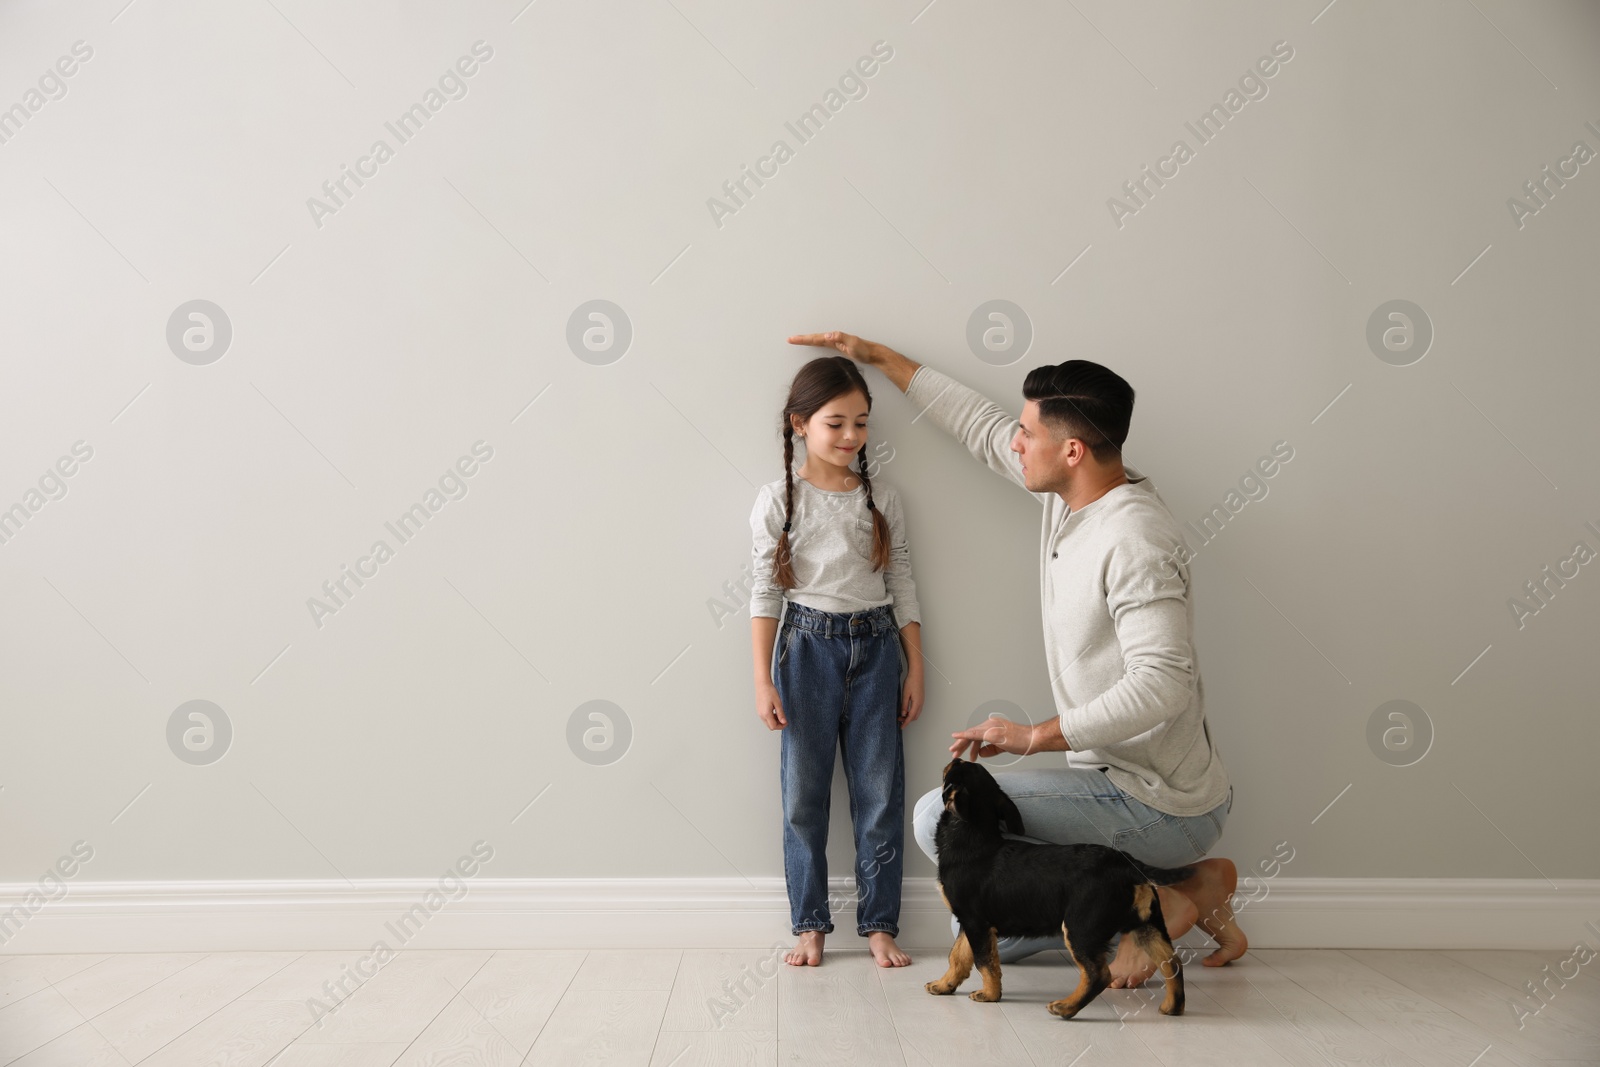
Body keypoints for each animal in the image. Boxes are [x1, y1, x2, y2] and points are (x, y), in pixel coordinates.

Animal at [928, 758, 1190, 1017]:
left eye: (954, 770)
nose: (956, 757)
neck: (973, 835)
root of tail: (1127, 864)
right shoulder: (968, 922)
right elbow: (958, 956)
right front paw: (943, 986)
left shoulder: (976, 922)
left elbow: (984, 961)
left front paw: (990, 995)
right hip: (1148, 925)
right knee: (1172, 963)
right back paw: (1172, 1007)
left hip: (1080, 927)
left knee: (1098, 974)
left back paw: (1066, 1007)